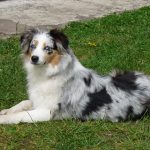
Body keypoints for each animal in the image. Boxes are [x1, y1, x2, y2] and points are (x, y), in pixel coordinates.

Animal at [0, 28, 150, 124]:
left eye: (47, 48)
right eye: (32, 46)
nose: (34, 58)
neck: (50, 73)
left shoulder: (48, 111)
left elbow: (20, 115)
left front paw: (3, 118)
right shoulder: (37, 100)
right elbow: (23, 102)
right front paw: (5, 111)